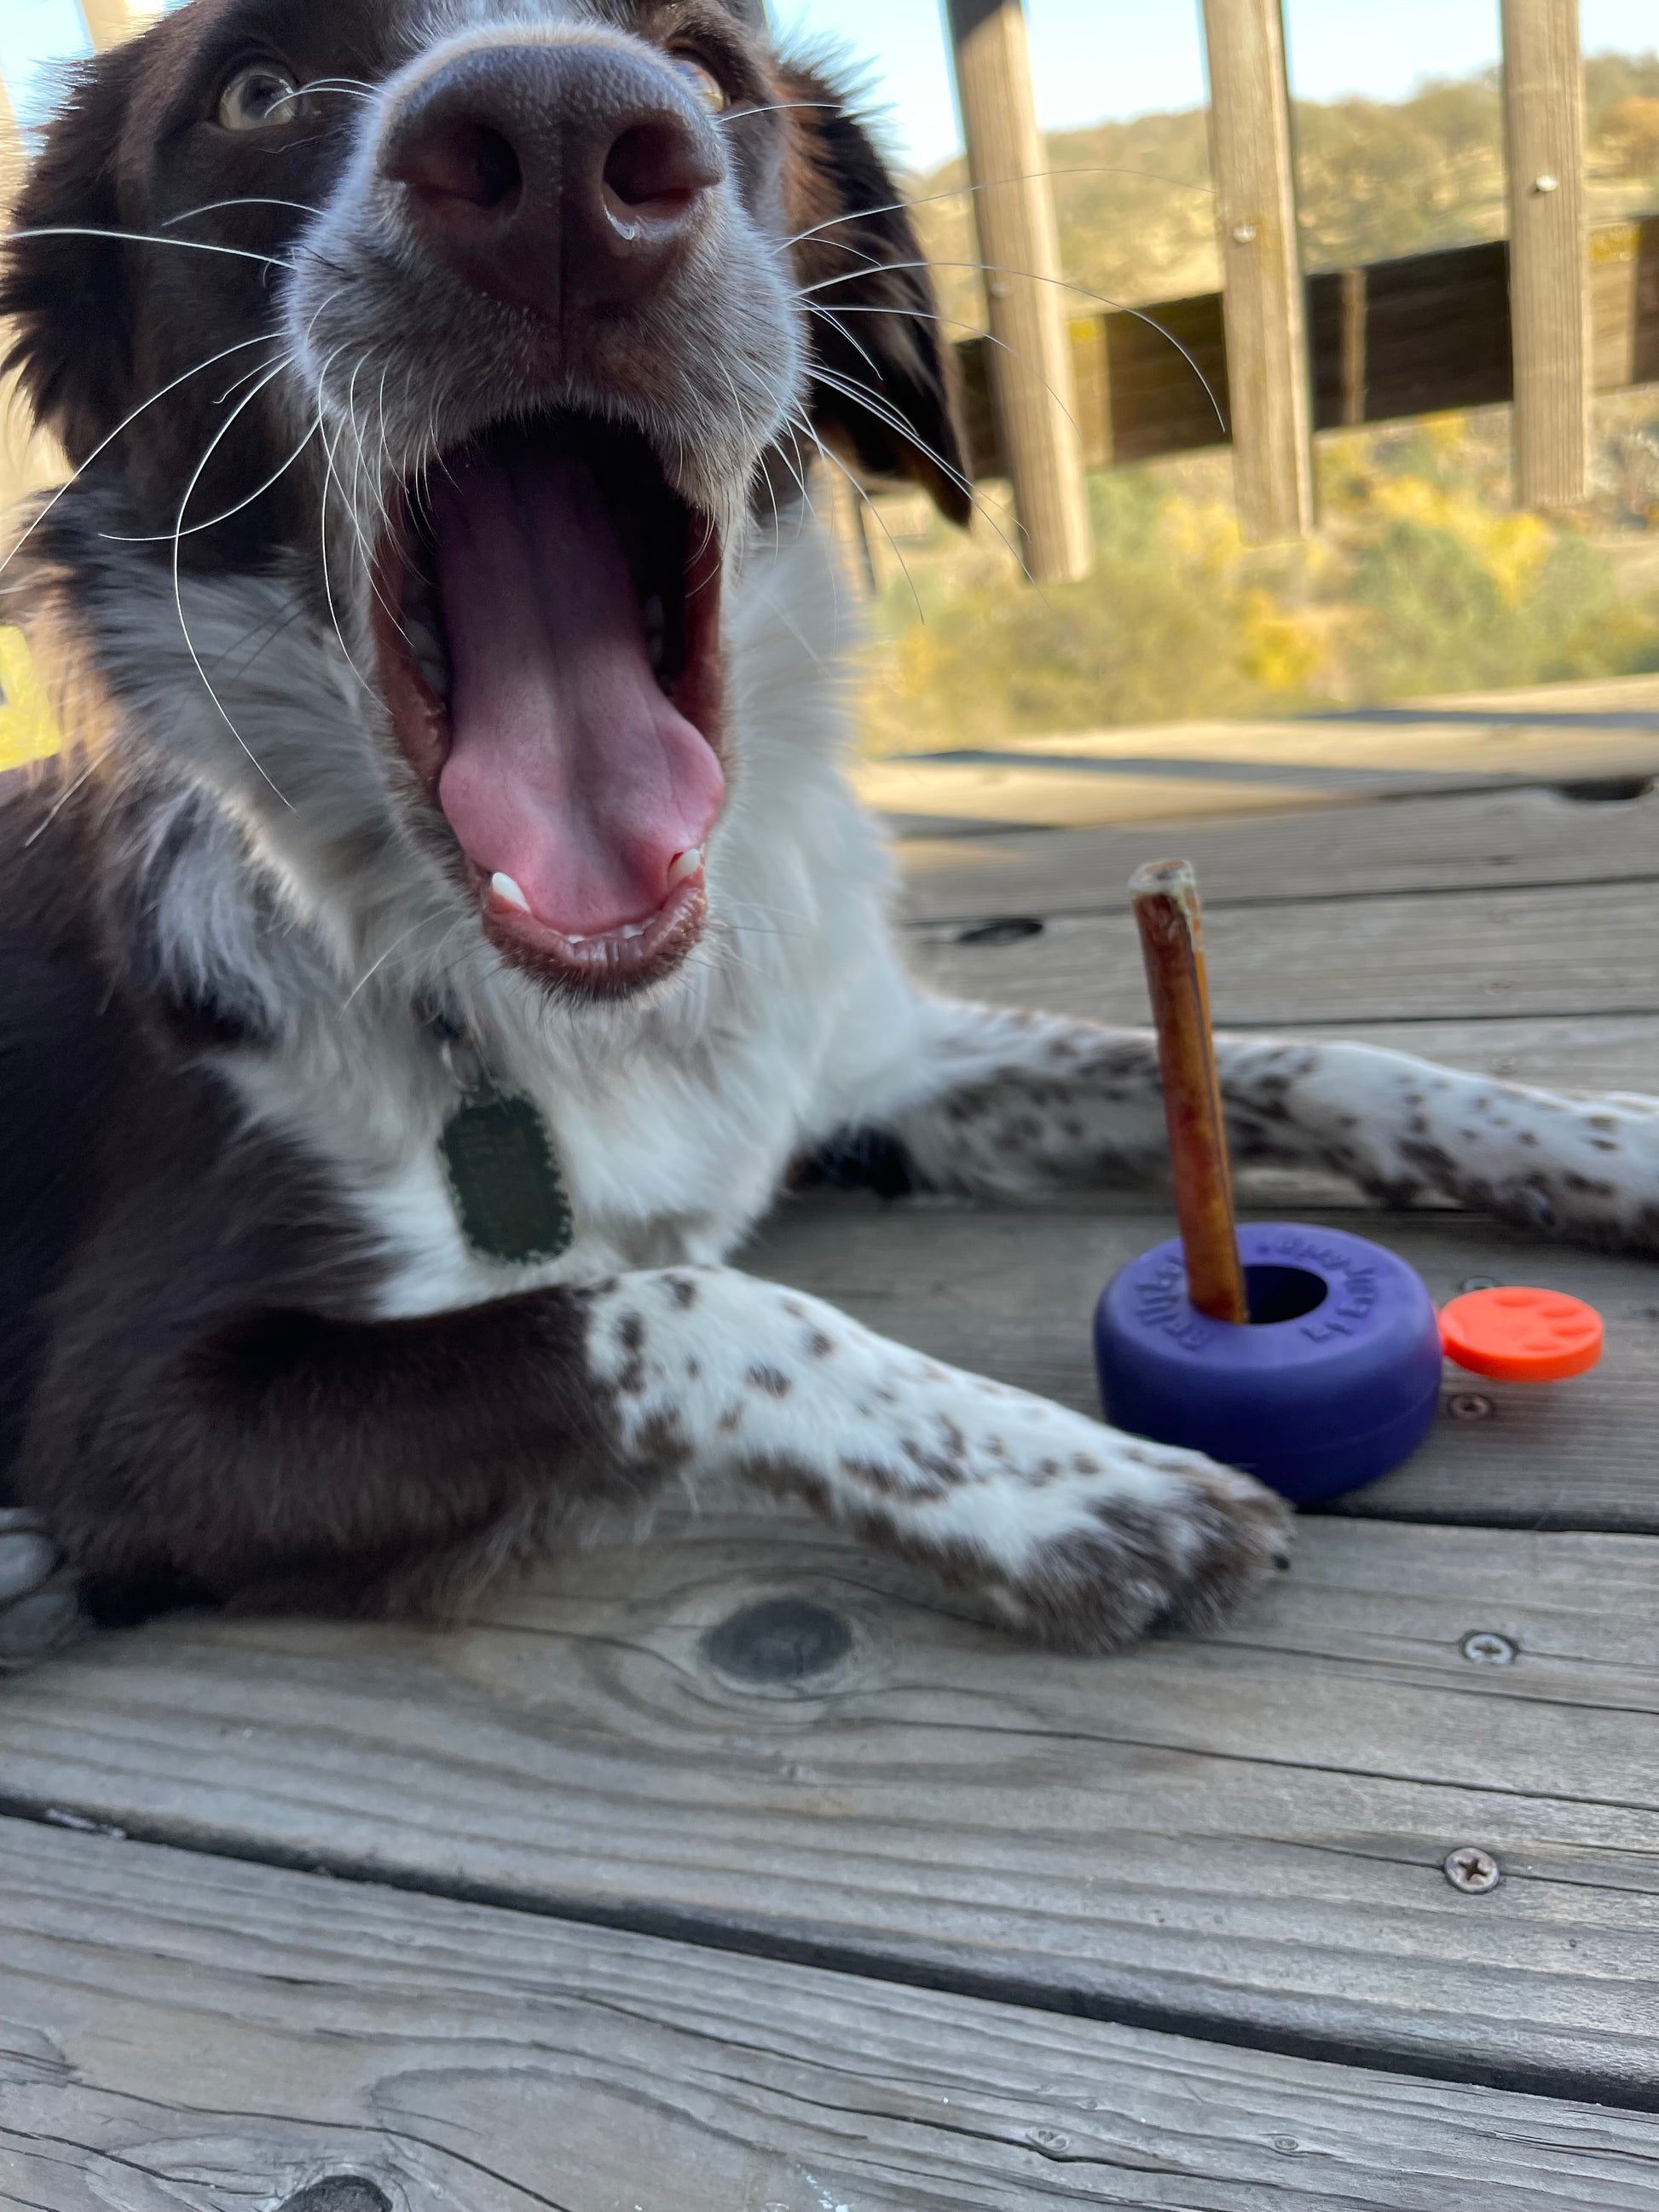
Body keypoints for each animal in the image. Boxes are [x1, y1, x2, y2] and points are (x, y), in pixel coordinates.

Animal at [0, 0, 1654, 1663]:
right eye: (254, 92)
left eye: (704, 64)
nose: (555, 143)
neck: (600, 1017)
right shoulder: (142, 1416)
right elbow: (676, 1304)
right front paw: (1067, 1486)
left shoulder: (869, 1067)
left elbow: (1303, 1058)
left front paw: (1601, 1139)